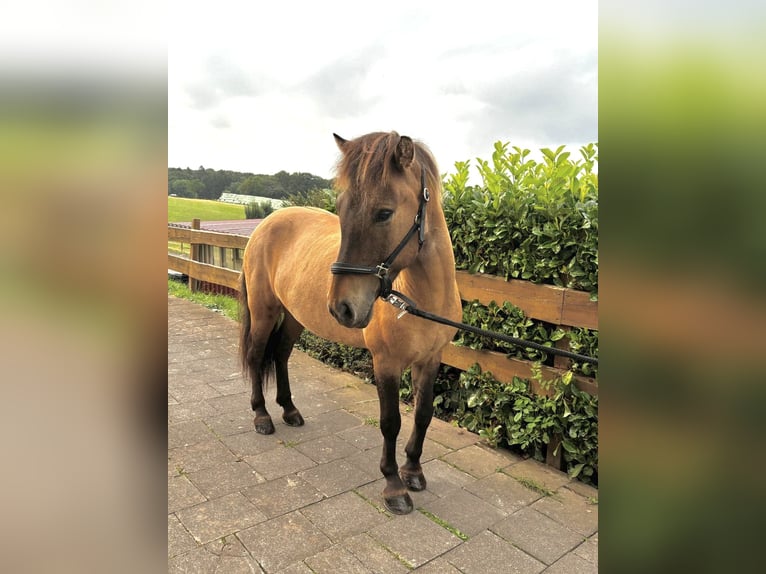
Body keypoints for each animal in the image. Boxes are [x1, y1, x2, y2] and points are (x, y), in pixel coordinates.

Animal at [240, 132, 462, 516]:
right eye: (341, 211)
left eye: (384, 213)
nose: (342, 307)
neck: (422, 298)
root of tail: (268, 221)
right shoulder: (386, 364)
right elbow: (391, 421)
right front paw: (394, 485)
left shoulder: (431, 360)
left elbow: (423, 414)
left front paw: (413, 471)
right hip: (264, 310)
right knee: (256, 357)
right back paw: (262, 417)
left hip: (295, 317)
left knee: (280, 355)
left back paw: (289, 410)